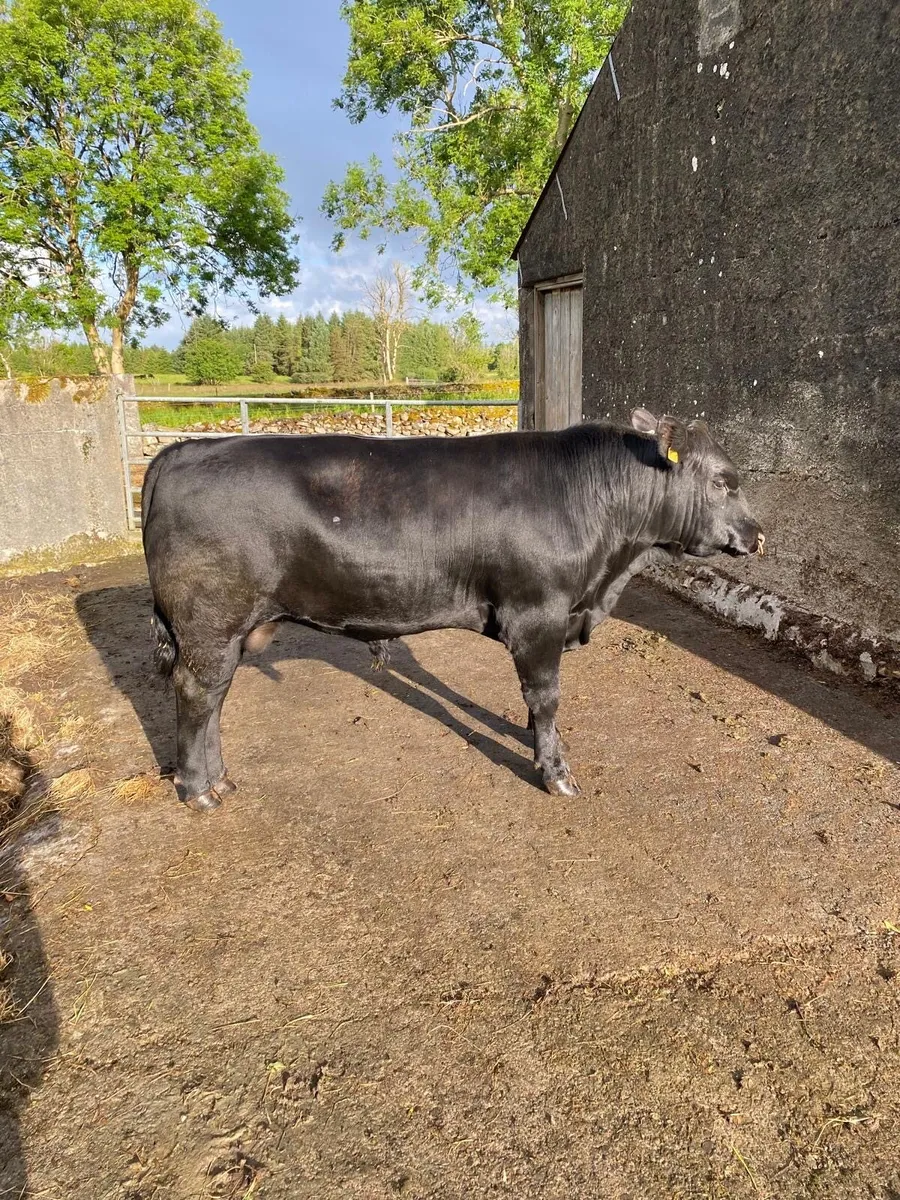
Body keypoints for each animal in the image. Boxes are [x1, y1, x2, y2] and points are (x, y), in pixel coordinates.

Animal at [141, 408, 763, 812]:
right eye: (722, 481)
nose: (758, 536)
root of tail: (181, 450)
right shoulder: (538, 613)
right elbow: (546, 698)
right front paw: (556, 774)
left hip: (227, 630)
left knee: (214, 699)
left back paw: (219, 781)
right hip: (209, 624)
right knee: (197, 695)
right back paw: (199, 790)